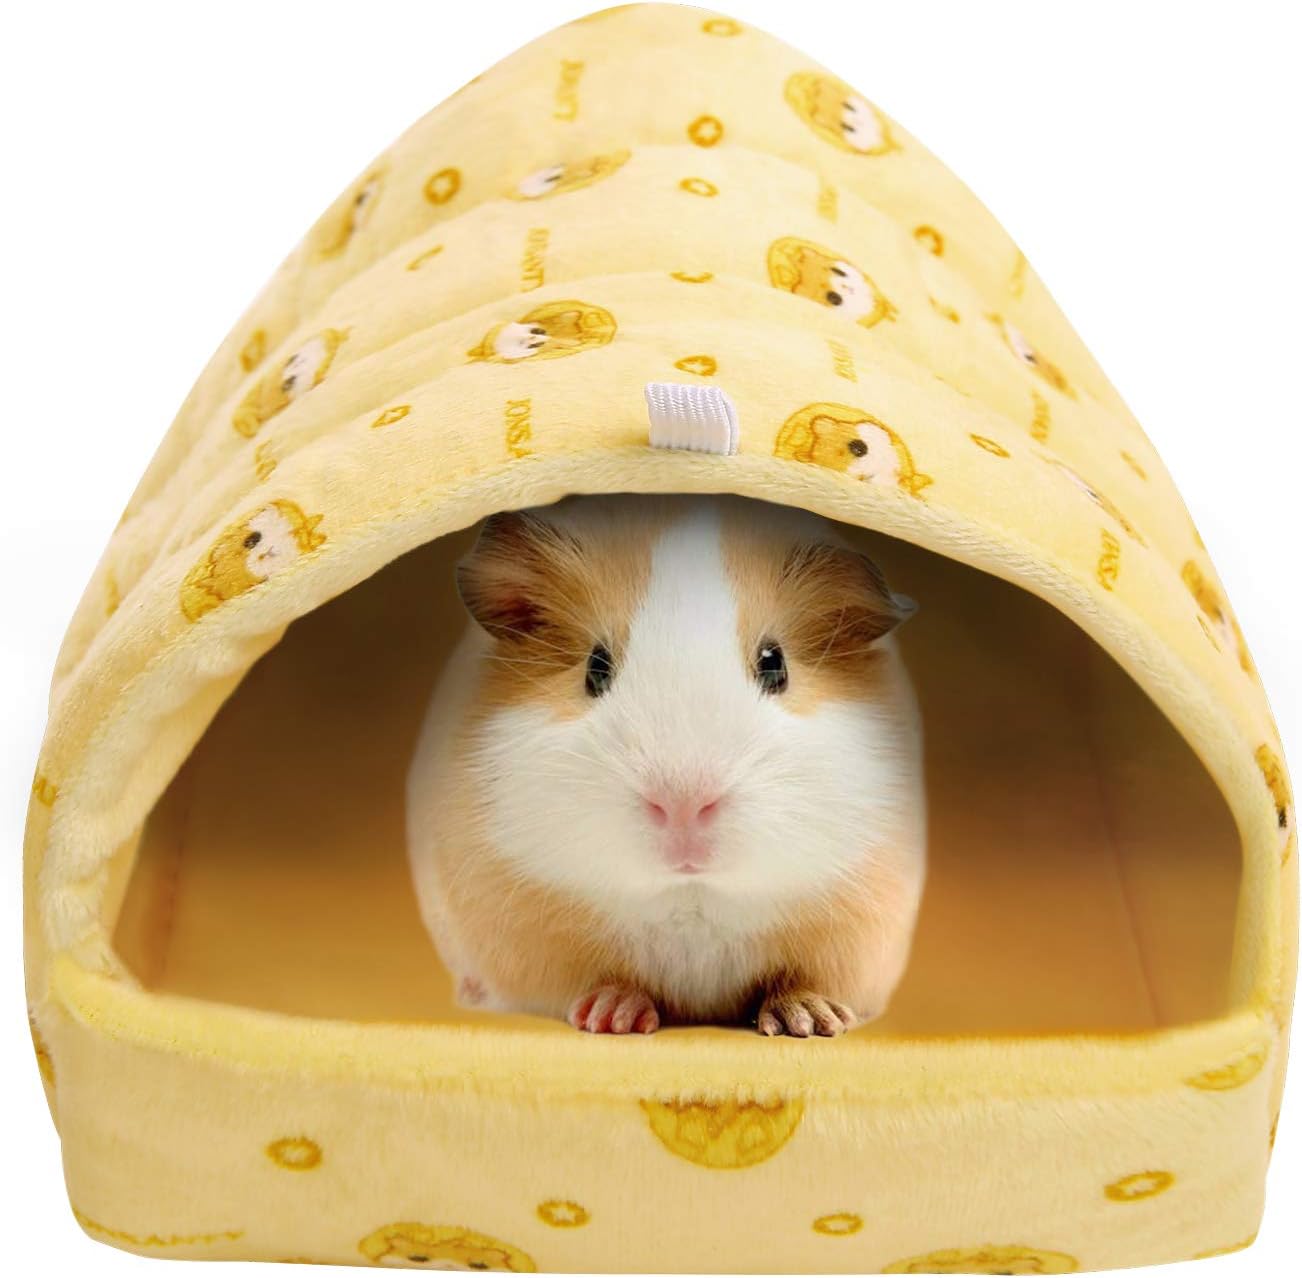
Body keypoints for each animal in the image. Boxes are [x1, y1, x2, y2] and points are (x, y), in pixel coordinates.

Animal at [406, 494, 926, 1037]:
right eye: (595, 668)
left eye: (775, 664)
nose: (683, 805)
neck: (690, 897)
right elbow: (598, 981)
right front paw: (613, 1017)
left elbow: (801, 979)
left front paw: (810, 1022)